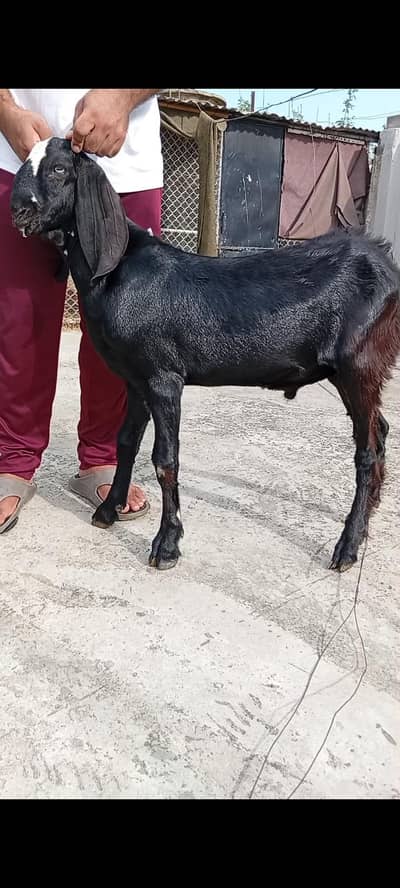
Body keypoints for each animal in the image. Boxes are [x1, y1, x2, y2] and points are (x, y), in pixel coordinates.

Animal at [10, 137, 400, 571]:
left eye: (60, 169)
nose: (19, 209)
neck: (117, 270)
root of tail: (384, 262)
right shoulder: (136, 377)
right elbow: (126, 441)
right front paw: (109, 510)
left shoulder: (164, 376)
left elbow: (165, 459)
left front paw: (166, 545)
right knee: (381, 431)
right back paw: (368, 517)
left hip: (358, 364)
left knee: (367, 450)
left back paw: (347, 546)